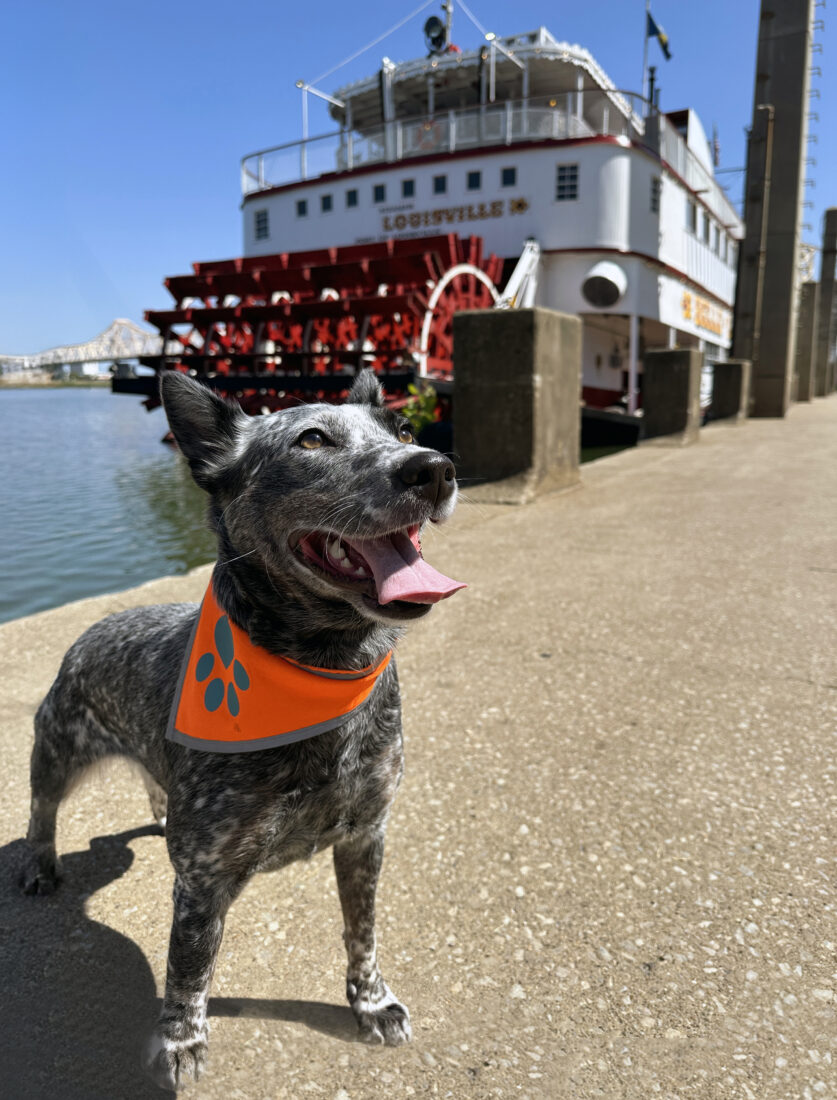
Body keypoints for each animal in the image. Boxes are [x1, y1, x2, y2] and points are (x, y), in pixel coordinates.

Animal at [21, 371, 464, 1091]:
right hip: (56, 747)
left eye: (401, 429)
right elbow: (188, 970)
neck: (321, 677)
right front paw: (180, 1041)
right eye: (311, 440)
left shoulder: (366, 838)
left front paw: (370, 1003)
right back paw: (38, 862)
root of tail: (97, 625)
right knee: (41, 809)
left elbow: (362, 933)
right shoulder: (202, 882)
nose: (432, 467)